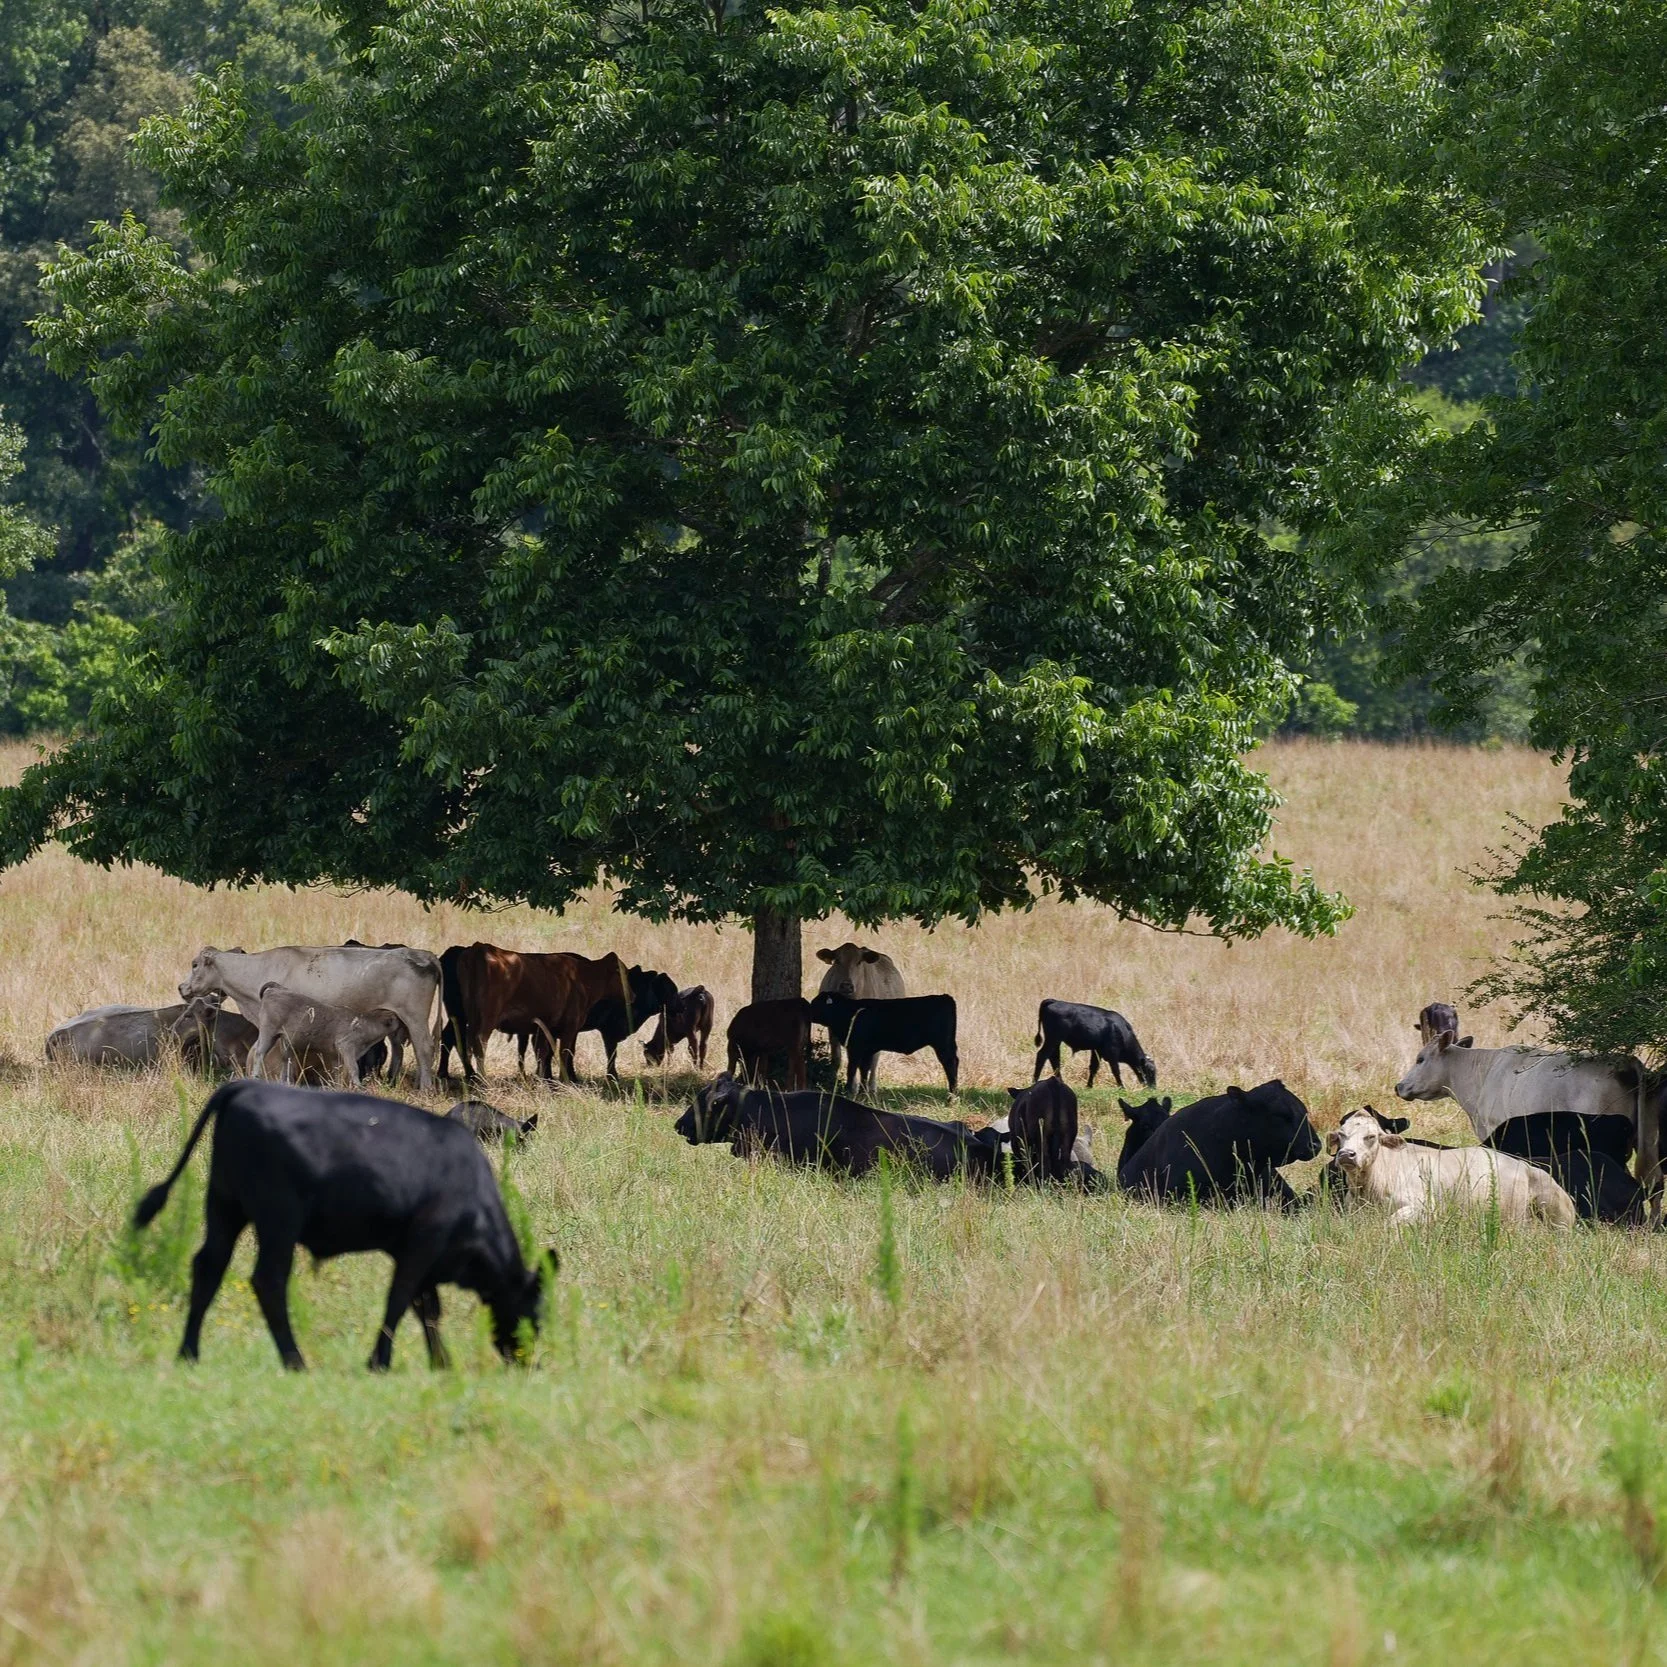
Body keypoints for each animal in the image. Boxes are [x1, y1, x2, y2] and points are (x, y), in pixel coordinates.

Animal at [131, 1080, 552, 1371]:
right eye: (534, 1313)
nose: (528, 1361)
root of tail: (242, 1088)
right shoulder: (421, 1248)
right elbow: (403, 1300)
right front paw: (381, 1362)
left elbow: (425, 1307)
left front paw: (438, 1363)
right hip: (278, 1221)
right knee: (268, 1280)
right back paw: (295, 1361)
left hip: (224, 1208)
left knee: (209, 1268)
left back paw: (189, 1353)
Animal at [248, 984, 412, 1089]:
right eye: (398, 1020)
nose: (405, 1025)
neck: (366, 1024)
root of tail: (274, 990)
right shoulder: (346, 1046)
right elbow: (353, 1068)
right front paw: (358, 1086)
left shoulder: (336, 1056)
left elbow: (337, 1073)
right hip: (269, 1032)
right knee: (259, 1052)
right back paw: (255, 1076)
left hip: (285, 1042)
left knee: (285, 1061)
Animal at [807, 992, 958, 1096]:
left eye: (816, 1003)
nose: (807, 1010)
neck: (849, 1012)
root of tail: (944, 997)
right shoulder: (867, 1050)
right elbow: (864, 1069)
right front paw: (862, 1092)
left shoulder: (855, 1048)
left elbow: (852, 1069)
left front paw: (848, 1091)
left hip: (942, 1044)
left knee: (950, 1063)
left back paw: (952, 1095)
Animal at [815, 944, 905, 1082]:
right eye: (837, 961)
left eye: (859, 962)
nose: (846, 986)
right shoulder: (833, 1029)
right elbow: (837, 1058)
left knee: (873, 1062)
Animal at [1328, 1109, 1576, 1227]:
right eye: (1341, 1135)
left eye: (1370, 1136)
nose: (1347, 1155)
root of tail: (1526, 1166)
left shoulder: (1424, 1207)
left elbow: (1392, 1223)